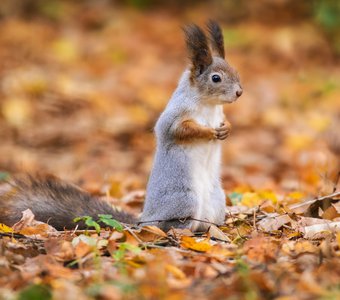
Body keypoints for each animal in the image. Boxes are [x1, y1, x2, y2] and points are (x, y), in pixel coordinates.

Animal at [0, 20, 242, 232]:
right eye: (216, 78)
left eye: (235, 71)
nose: (240, 92)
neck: (209, 106)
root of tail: (145, 220)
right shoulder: (175, 115)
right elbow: (177, 130)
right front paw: (208, 131)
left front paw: (227, 128)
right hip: (184, 199)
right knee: (171, 227)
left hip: (217, 202)